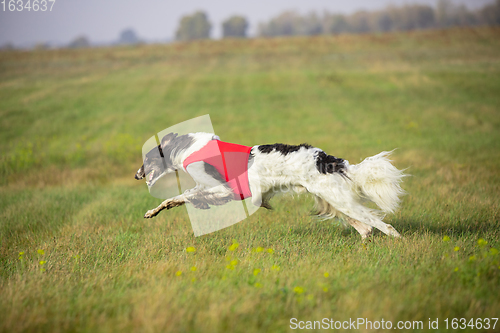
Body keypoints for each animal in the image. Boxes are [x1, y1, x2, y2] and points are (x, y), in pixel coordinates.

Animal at [134, 131, 406, 237]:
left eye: (146, 159)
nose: (137, 175)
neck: (187, 148)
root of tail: (326, 159)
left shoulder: (225, 189)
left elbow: (190, 196)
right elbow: (177, 198)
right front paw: (153, 211)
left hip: (339, 200)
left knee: (385, 226)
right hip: (333, 201)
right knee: (366, 228)